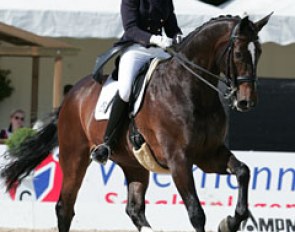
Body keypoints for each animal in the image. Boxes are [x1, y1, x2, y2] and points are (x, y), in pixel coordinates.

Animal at [0, 14, 272, 232]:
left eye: (259, 52)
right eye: (239, 53)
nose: (246, 101)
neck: (191, 90)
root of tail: (71, 95)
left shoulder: (208, 155)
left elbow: (243, 171)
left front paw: (231, 221)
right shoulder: (179, 160)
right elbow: (196, 212)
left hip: (134, 163)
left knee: (134, 209)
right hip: (74, 157)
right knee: (64, 207)